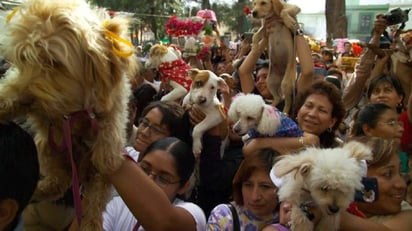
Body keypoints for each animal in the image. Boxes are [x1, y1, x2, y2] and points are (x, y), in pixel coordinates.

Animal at [0, 0, 136, 230]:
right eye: (24, 58)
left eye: (55, 62)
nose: (28, 99)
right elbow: (10, 92)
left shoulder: (113, 104)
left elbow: (110, 128)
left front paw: (107, 152)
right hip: (47, 146)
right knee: (60, 179)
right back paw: (38, 191)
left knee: (87, 192)